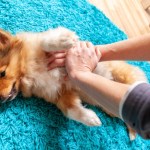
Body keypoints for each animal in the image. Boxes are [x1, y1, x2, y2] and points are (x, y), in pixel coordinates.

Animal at [0, 27, 148, 141]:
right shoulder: (61, 93)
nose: (1, 99)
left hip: (125, 77)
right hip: (115, 108)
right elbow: (71, 110)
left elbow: (45, 41)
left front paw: (65, 40)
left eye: (2, 73)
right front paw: (91, 118)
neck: (28, 72)